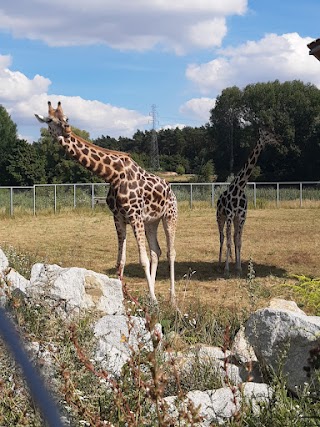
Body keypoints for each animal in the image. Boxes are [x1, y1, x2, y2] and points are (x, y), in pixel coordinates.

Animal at [37, 102, 180, 306]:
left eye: (66, 118)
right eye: (49, 120)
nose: (67, 129)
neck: (113, 175)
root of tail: (171, 190)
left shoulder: (134, 216)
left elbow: (142, 259)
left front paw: (153, 298)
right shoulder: (119, 217)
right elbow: (121, 260)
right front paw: (126, 297)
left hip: (170, 216)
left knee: (170, 252)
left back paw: (172, 299)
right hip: (151, 221)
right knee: (156, 251)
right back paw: (151, 295)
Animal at [216, 128, 276, 274]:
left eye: (272, 133)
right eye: (266, 134)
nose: (277, 140)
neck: (240, 187)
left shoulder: (242, 217)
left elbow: (238, 241)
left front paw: (238, 267)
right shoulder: (230, 215)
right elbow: (228, 242)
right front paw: (226, 270)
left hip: (234, 220)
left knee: (231, 237)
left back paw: (232, 262)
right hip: (220, 218)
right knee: (222, 238)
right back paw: (219, 264)